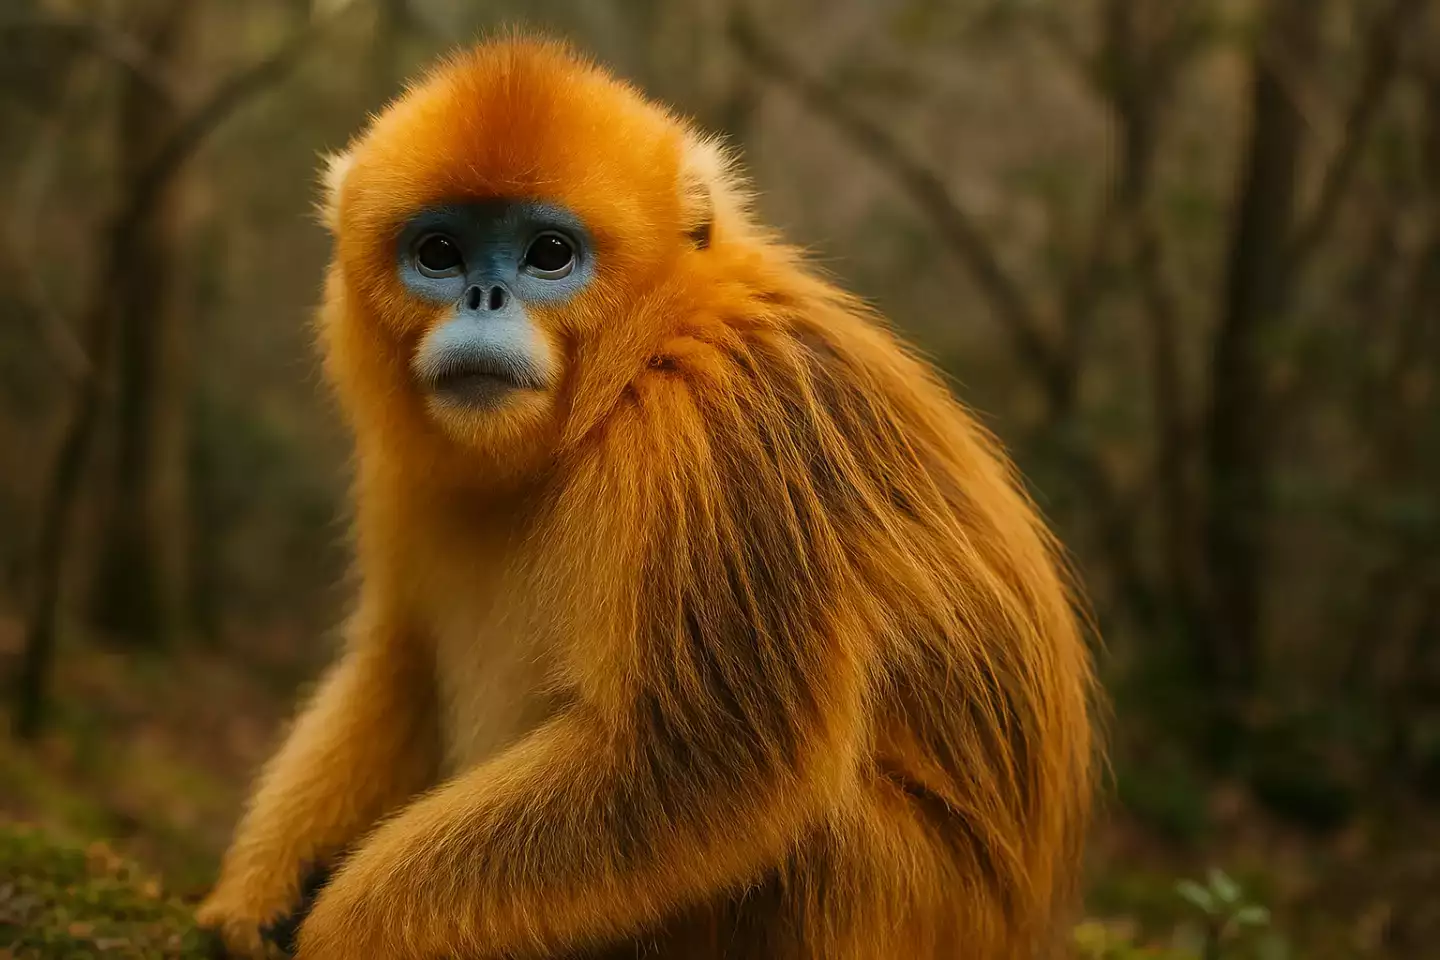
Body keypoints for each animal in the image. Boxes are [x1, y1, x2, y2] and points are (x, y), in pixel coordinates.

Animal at [195, 35, 1099, 960]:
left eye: (549, 255)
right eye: (440, 254)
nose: (484, 298)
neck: (631, 368)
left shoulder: (709, 429)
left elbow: (705, 762)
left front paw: (344, 928)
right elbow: (399, 659)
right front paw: (254, 896)